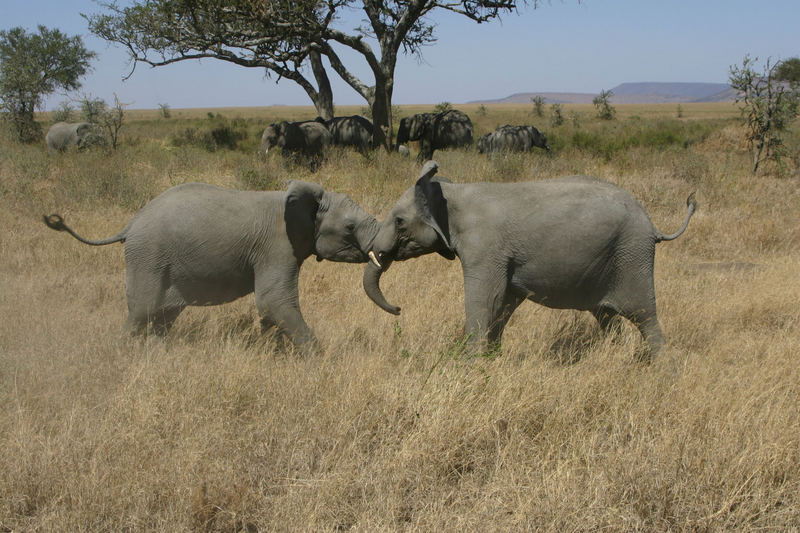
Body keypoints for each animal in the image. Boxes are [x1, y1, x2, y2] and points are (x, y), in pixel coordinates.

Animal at [42, 181, 380, 352]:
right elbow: (273, 301)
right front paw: (321, 361)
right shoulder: (276, 246)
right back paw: (121, 354)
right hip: (147, 257)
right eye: (350, 227)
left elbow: (271, 309)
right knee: (142, 311)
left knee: (163, 315)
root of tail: (129, 225)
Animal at [362, 162, 692, 360]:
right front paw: (491, 360)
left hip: (632, 254)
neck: (450, 192)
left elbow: (485, 300)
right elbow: (503, 305)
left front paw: (469, 366)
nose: (399, 309)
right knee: (608, 317)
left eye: (400, 222)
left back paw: (665, 374)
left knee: (644, 316)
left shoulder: (485, 247)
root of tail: (653, 227)